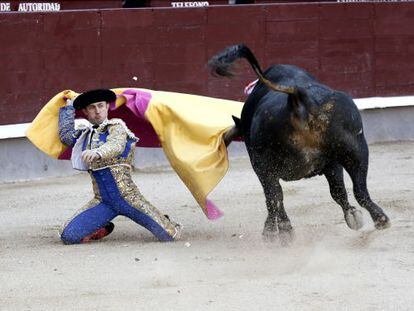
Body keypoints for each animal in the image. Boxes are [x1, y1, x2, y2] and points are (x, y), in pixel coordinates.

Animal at [209, 44, 390, 244]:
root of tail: (296, 96)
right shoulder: (332, 164)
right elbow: (338, 191)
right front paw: (352, 216)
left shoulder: (263, 167)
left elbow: (273, 198)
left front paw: (271, 231)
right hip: (356, 148)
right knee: (359, 189)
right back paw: (379, 219)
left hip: (264, 165)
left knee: (275, 197)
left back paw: (283, 231)